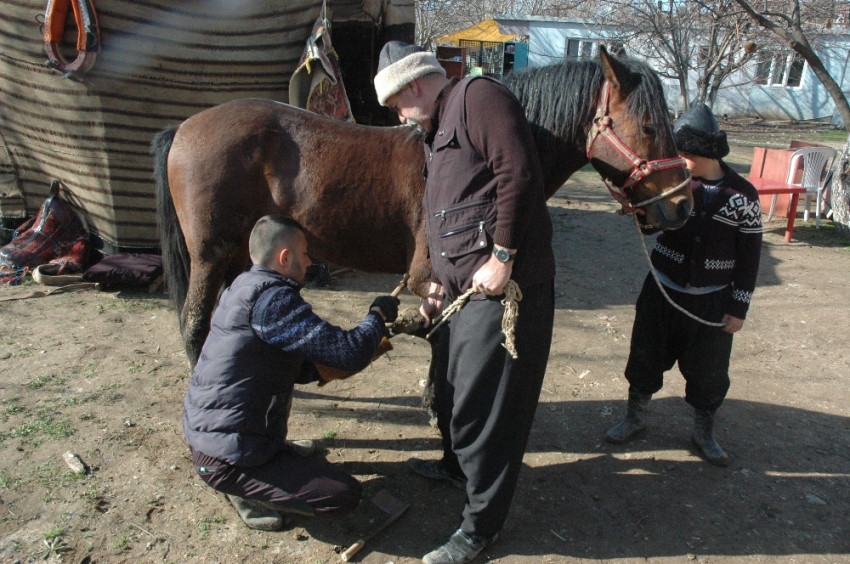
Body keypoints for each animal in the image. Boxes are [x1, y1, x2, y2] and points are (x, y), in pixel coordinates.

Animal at [156, 48, 692, 366]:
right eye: (648, 125)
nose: (682, 206)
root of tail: (185, 127)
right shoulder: (428, 277)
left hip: (237, 256)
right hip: (210, 256)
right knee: (194, 326)